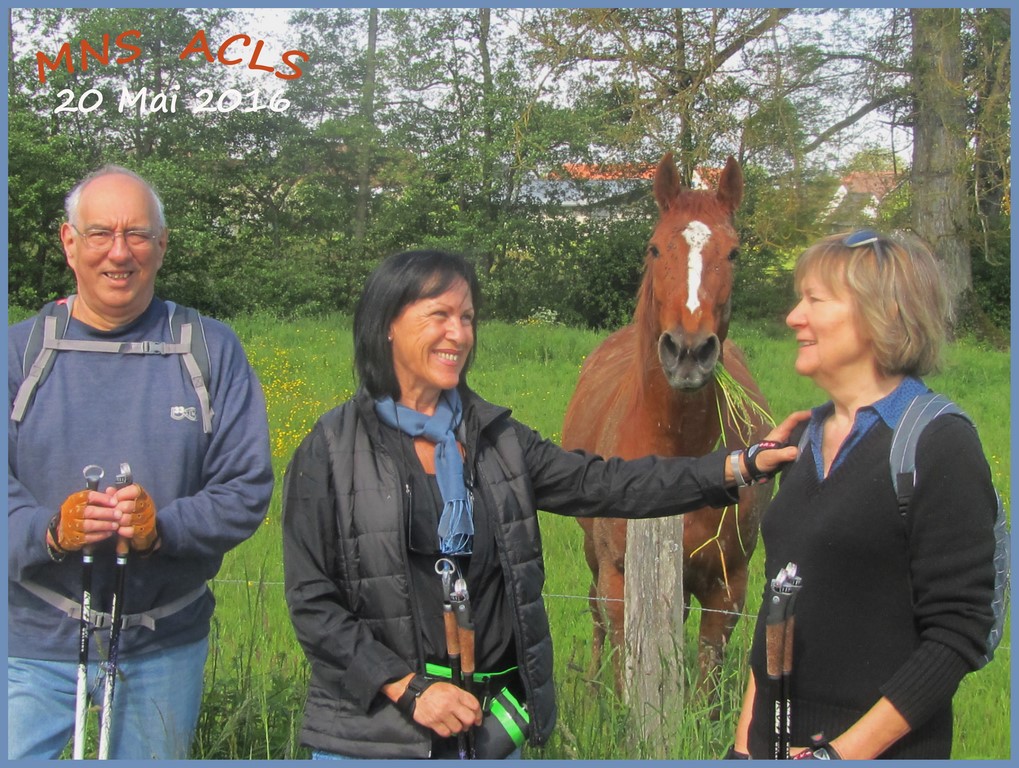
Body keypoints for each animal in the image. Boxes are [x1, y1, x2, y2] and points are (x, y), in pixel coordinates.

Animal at [562, 152, 766, 717]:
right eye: (655, 246)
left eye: (734, 251)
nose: (689, 351)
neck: (678, 454)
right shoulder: (619, 577)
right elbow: (627, 665)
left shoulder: (728, 584)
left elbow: (706, 677)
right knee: (595, 620)